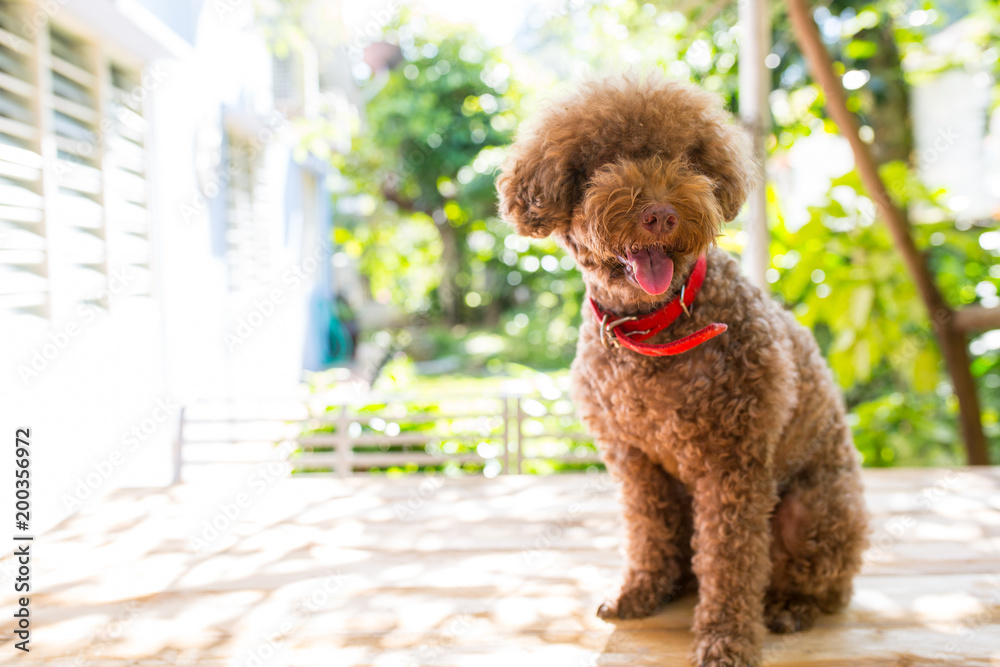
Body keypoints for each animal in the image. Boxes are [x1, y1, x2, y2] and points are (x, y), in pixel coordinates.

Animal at [497, 76, 869, 666]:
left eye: (686, 158)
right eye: (604, 160)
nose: (661, 214)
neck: (652, 328)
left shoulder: (733, 467)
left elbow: (730, 561)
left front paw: (726, 639)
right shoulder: (634, 462)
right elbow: (650, 531)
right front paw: (640, 591)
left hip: (815, 507)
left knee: (823, 579)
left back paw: (791, 605)